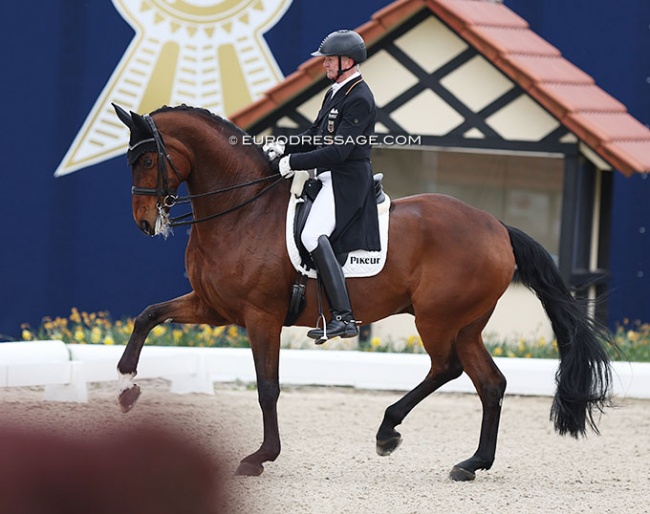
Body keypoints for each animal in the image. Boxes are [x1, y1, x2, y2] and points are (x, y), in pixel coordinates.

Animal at [112, 104, 612, 480]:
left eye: (148, 160)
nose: (144, 223)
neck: (242, 210)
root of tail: (497, 227)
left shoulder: (260, 317)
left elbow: (268, 388)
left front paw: (259, 458)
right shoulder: (214, 308)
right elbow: (148, 315)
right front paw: (125, 386)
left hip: (436, 319)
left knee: (446, 368)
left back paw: (388, 432)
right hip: (467, 324)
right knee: (489, 383)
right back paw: (471, 463)